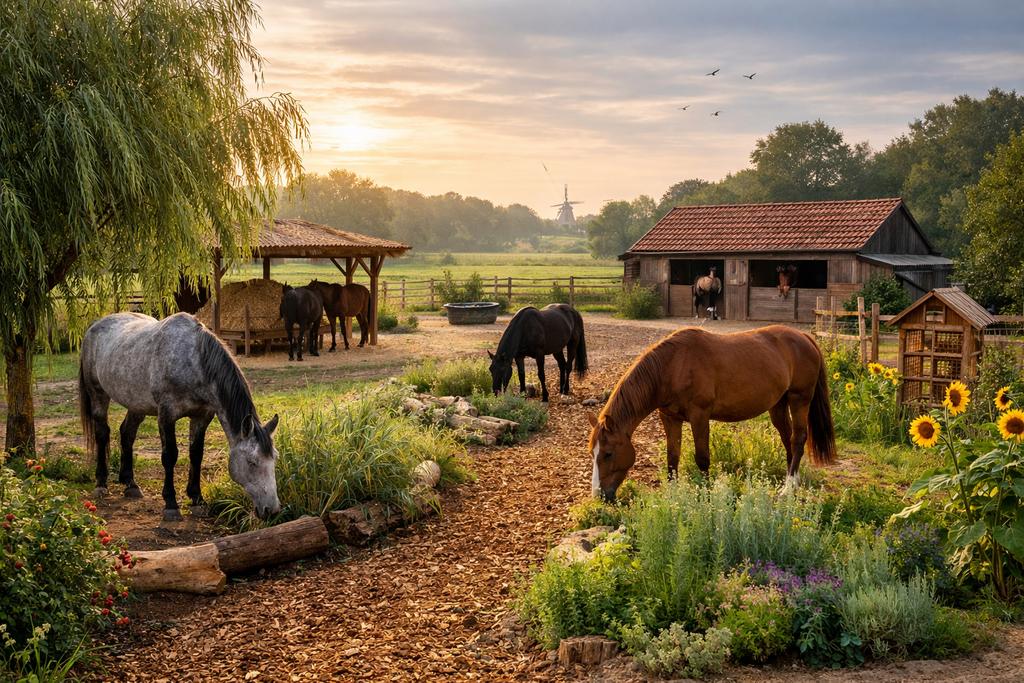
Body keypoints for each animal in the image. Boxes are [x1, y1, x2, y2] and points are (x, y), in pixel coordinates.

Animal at [78, 312, 281, 521]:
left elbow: (196, 455)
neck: (193, 362)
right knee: (102, 434)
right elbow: (170, 456)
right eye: (252, 462)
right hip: (98, 394)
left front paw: (197, 499)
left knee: (127, 434)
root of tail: (95, 325)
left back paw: (130, 484)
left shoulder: (202, 417)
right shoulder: (166, 415)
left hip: (136, 404)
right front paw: (171, 504)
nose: (272, 510)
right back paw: (101, 483)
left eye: (275, 458)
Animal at [587, 325, 835, 502]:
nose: (598, 495)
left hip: (799, 399)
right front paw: (672, 496)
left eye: (608, 453)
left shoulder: (700, 416)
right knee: (788, 440)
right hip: (778, 405)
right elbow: (672, 457)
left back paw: (788, 489)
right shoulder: (670, 418)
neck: (672, 366)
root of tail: (804, 336)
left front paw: (705, 496)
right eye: (592, 453)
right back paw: (792, 481)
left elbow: (702, 459)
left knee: (798, 439)